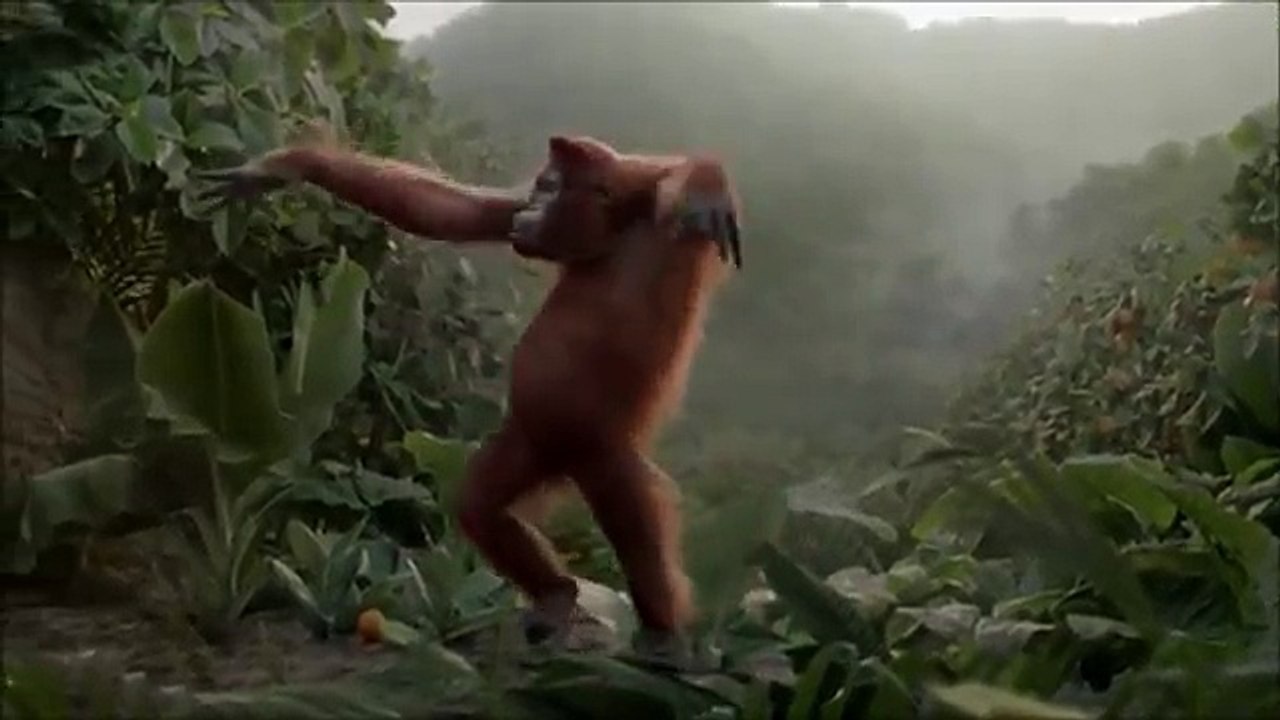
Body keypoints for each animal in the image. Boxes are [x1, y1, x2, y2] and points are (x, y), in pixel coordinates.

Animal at [198, 132, 742, 663]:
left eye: (550, 188)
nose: (533, 205)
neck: (610, 236)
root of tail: (567, 460)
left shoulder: (650, 208)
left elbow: (675, 180)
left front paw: (707, 186)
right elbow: (455, 210)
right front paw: (282, 166)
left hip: (600, 452)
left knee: (630, 520)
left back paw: (662, 633)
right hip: (535, 441)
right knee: (481, 502)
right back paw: (557, 595)